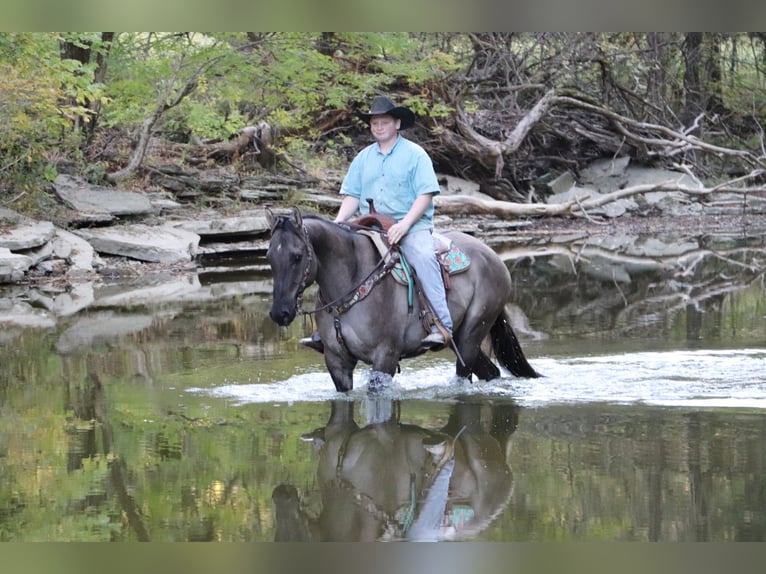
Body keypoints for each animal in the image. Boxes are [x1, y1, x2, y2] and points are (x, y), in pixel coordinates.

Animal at [266, 208, 540, 396]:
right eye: (269, 256)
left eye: (297, 256)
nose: (280, 312)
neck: (351, 281)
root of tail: (494, 258)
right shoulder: (336, 361)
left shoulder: (385, 357)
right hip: (460, 339)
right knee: (491, 372)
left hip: (472, 334)